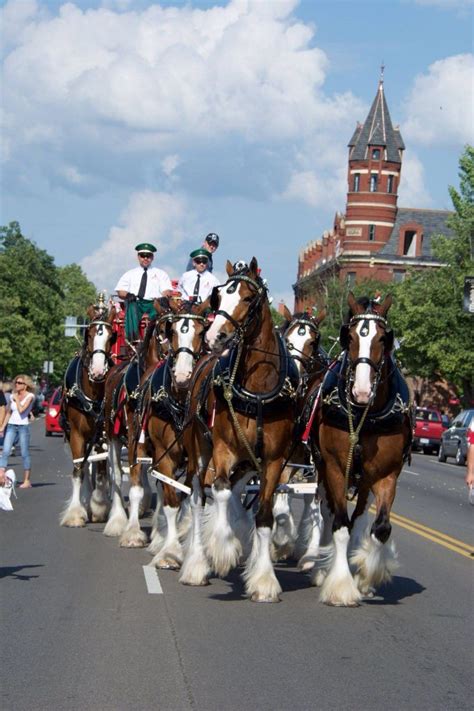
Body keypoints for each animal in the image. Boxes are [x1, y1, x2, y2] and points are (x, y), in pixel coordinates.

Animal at [59, 302, 118, 528]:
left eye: (111, 337)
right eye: (90, 334)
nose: (99, 370)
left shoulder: (102, 435)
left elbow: (101, 472)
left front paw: (99, 505)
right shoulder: (76, 434)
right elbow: (78, 470)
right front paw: (75, 514)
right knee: (83, 465)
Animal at [180, 258, 298, 600]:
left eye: (247, 298)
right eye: (219, 297)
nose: (214, 336)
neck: (257, 390)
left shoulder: (273, 461)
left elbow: (264, 515)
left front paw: (263, 579)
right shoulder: (223, 449)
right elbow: (218, 491)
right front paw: (222, 548)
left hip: (248, 462)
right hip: (199, 449)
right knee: (198, 496)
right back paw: (196, 564)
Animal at [312, 292, 412, 604]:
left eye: (383, 338)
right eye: (350, 337)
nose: (362, 391)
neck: (366, 414)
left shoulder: (387, 475)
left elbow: (380, 528)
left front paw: (366, 577)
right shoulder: (335, 468)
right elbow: (340, 525)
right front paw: (340, 586)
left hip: (365, 480)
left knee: (359, 517)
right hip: (324, 471)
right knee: (329, 512)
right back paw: (322, 568)